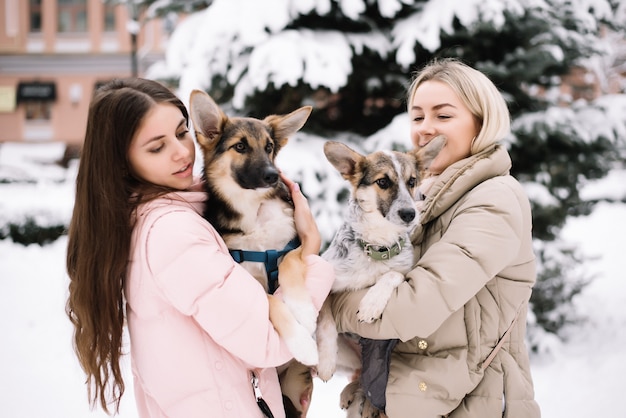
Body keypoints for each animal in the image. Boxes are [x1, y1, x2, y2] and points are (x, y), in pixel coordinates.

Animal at [189, 90, 316, 416]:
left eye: (269, 147)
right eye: (240, 146)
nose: (273, 175)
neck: (252, 211)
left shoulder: (290, 246)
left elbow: (290, 266)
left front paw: (304, 310)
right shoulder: (242, 274)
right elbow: (271, 301)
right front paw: (303, 343)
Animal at [316, 138, 444, 418]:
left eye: (412, 181)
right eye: (383, 182)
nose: (410, 214)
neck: (377, 246)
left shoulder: (404, 271)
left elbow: (392, 274)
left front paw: (371, 304)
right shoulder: (327, 281)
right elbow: (326, 321)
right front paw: (325, 362)